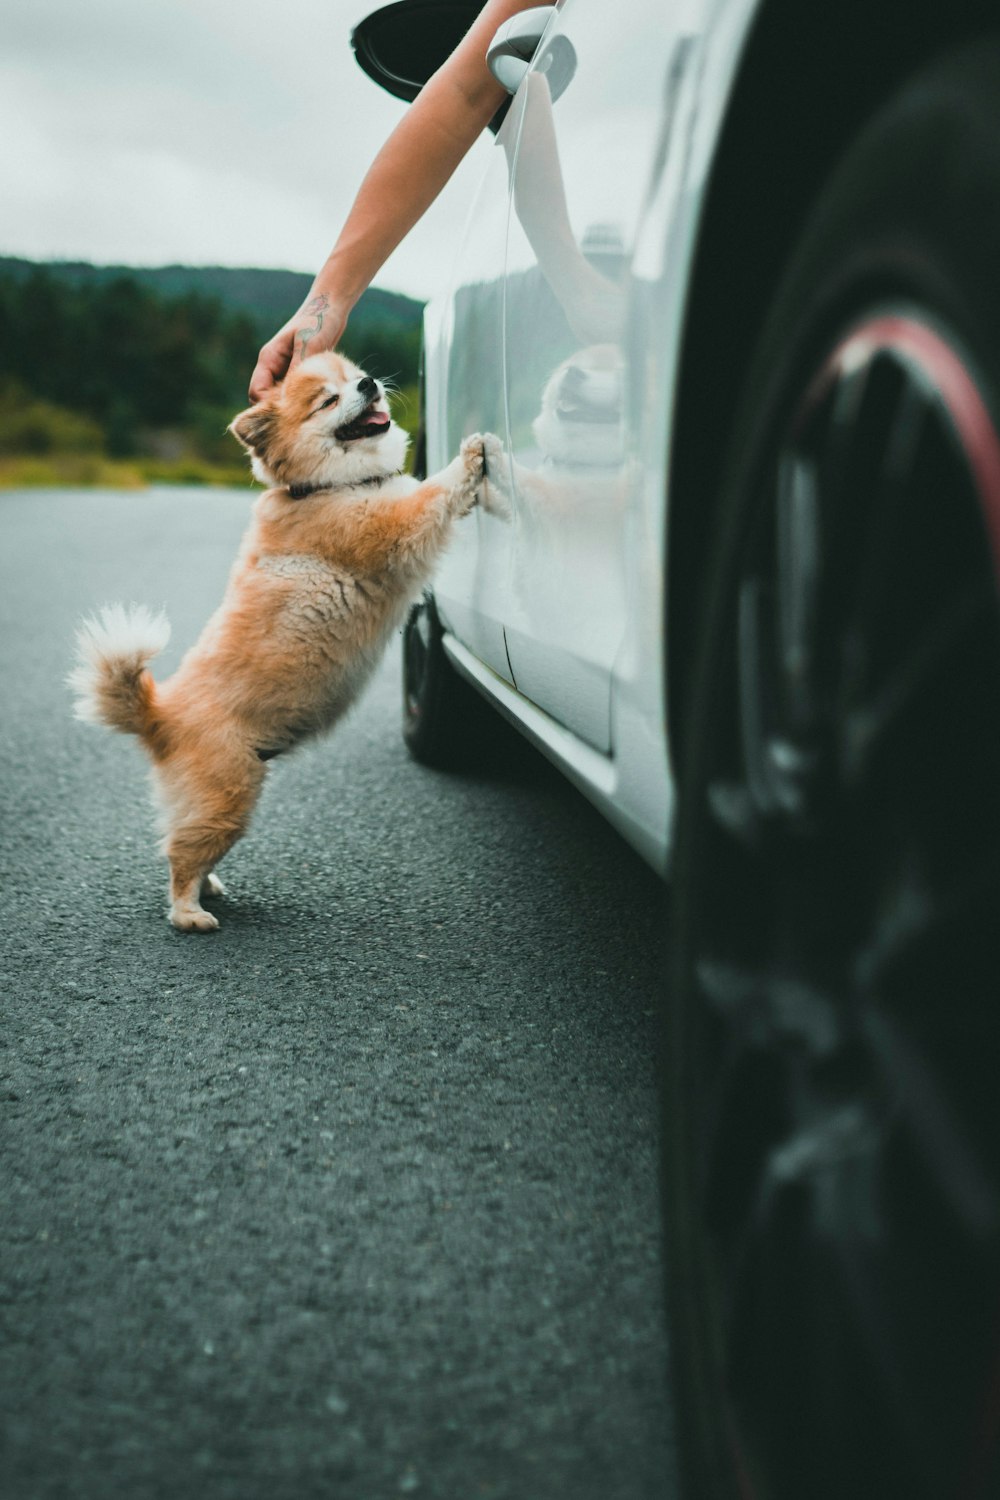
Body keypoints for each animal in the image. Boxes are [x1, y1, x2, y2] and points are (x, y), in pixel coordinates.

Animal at [69, 355, 491, 930]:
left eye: (353, 375)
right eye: (328, 401)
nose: (368, 385)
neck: (327, 486)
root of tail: (160, 715)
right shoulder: (394, 526)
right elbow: (436, 492)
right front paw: (470, 457)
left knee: (185, 844)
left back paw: (209, 888)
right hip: (229, 796)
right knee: (180, 856)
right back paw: (189, 912)